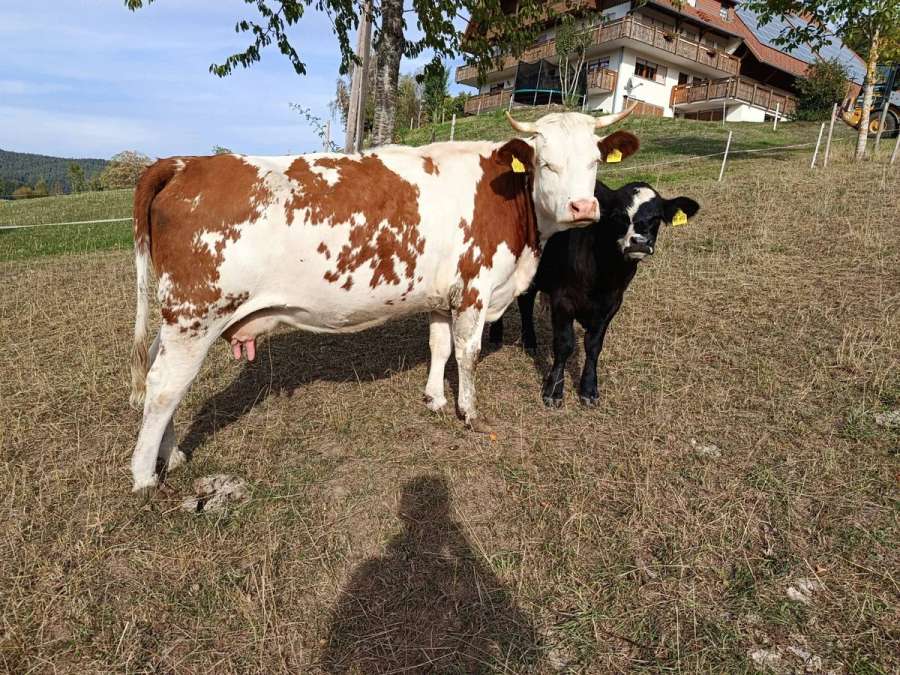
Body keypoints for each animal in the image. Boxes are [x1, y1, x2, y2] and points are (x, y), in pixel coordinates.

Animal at [127, 109, 640, 494]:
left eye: (594, 161)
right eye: (546, 163)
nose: (583, 208)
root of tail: (183, 164)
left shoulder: (443, 295)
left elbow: (439, 346)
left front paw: (435, 398)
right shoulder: (474, 289)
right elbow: (468, 354)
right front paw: (468, 412)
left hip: (176, 319)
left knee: (156, 372)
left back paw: (172, 455)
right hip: (195, 316)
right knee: (164, 387)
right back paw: (144, 477)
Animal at [488, 181, 699, 406]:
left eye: (656, 218)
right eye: (618, 215)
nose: (640, 242)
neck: (604, 275)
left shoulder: (612, 304)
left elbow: (594, 346)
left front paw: (589, 389)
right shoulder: (563, 300)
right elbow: (564, 344)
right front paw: (554, 390)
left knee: (526, 302)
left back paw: (529, 342)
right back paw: (496, 335)